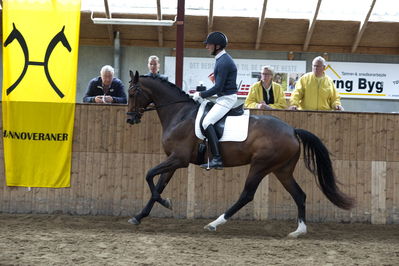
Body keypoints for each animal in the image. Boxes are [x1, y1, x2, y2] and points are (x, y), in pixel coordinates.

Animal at [126, 70, 354, 237]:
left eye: (133, 92)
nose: (130, 119)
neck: (180, 114)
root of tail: (292, 130)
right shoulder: (172, 160)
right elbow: (158, 184)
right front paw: (139, 216)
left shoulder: (178, 159)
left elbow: (149, 175)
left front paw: (166, 203)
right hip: (282, 170)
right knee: (299, 194)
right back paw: (299, 231)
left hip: (260, 166)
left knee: (247, 195)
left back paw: (214, 223)